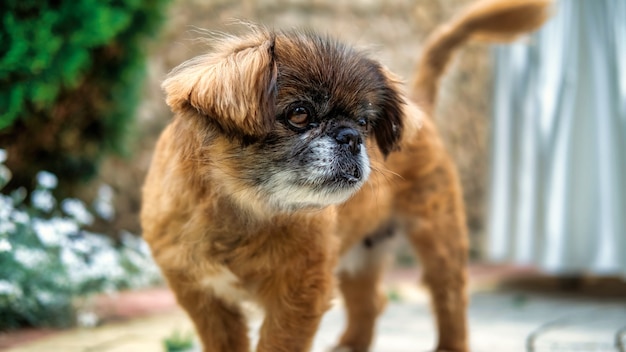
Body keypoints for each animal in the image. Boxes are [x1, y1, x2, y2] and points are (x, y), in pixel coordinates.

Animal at [140, 1, 544, 350]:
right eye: (299, 114)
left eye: (364, 123)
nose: (351, 137)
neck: (243, 211)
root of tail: (421, 109)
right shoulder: (204, 298)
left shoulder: (300, 295)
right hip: (359, 255)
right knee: (372, 302)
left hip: (439, 240)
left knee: (450, 299)